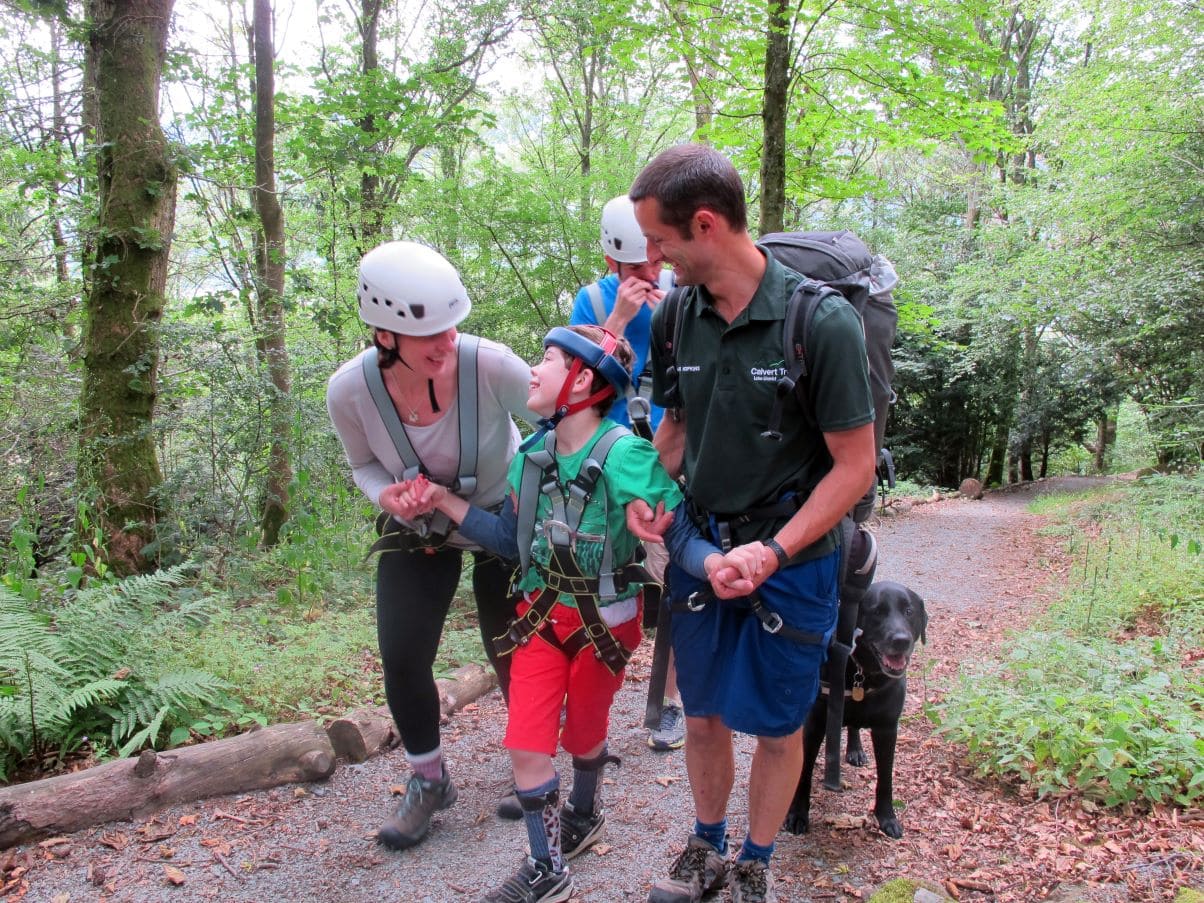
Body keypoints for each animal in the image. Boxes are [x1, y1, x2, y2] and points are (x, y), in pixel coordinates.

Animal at [785, 580, 924, 842]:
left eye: (909, 611)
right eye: (877, 612)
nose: (901, 640)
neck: (863, 673)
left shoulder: (888, 729)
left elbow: (886, 777)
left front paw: (887, 817)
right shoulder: (815, 725)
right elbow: (803, 772)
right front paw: (797, 813)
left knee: (854, 726)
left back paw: (855, 749)